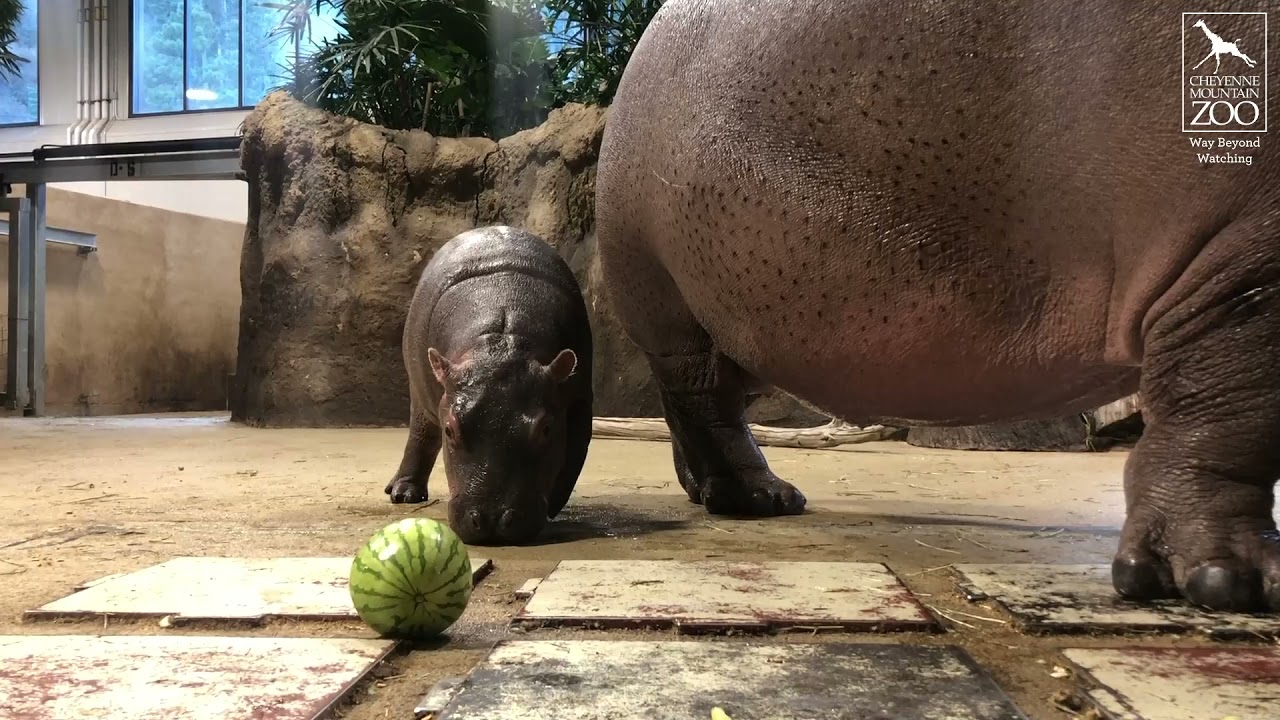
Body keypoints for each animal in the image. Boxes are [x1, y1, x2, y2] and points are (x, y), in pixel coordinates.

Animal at [385, 226, 593, 546]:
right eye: (450, 429)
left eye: (545, 429)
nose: (492, 520)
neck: (501, 340)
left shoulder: (580, 402)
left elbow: (572, 460)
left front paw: (554, 507)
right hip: (419, 393)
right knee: (420, 435)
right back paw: (403, 494)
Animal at [595, 0, 1280, 612]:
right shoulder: (1238, 259)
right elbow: (1228, 405)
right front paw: (1226, 583)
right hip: (672, 306)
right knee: (705, 404)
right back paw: (761, 498)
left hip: (734, 322)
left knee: (696, 408)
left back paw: (720, 493)